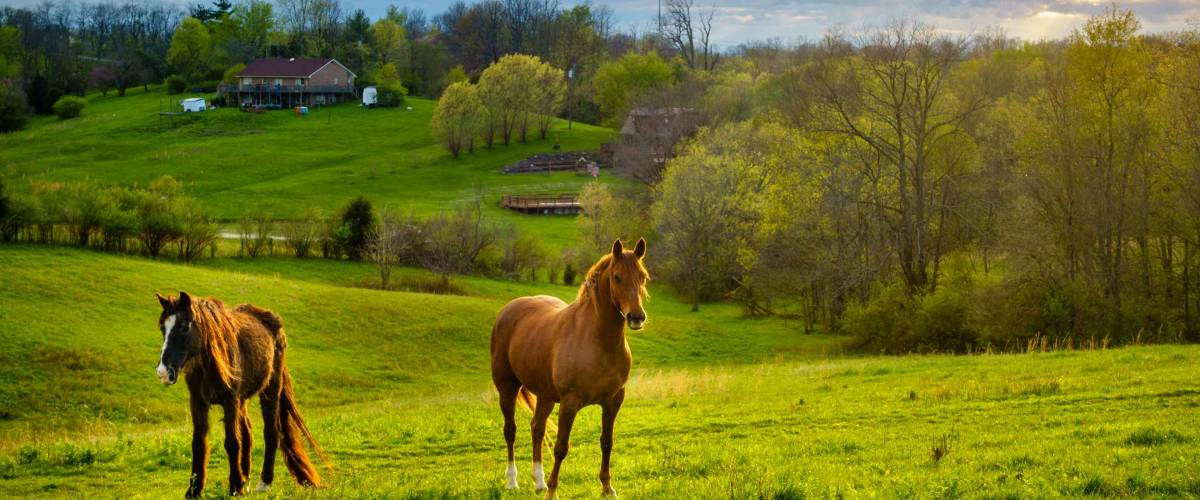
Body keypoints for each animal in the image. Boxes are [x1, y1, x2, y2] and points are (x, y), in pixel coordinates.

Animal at [157, 290, 333, 496]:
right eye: (163, 328)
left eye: (184, 326)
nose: (163, 372)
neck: (210, 364)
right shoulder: (198, 402)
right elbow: (199, 444)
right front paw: (194, 490)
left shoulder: (230, 400)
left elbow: (232, 442)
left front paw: (234, 487)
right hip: (243, 400)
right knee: (248, 433)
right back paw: (246, 480)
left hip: (269, 391)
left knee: (271, 432)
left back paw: (264, 482)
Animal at [492, 238, 652, 498]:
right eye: (617, 276)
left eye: (643, 277)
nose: (636, 317)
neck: (597, 341)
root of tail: (508, 310)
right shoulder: (569, 403)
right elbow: (561, 447)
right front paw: (553, 492)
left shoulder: (613, 401)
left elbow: (606, 442)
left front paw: (607, 488)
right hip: (507, 388)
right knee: (510, 430)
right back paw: (512, 481)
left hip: (545, 396)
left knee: (536, 429)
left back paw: (539, 482)